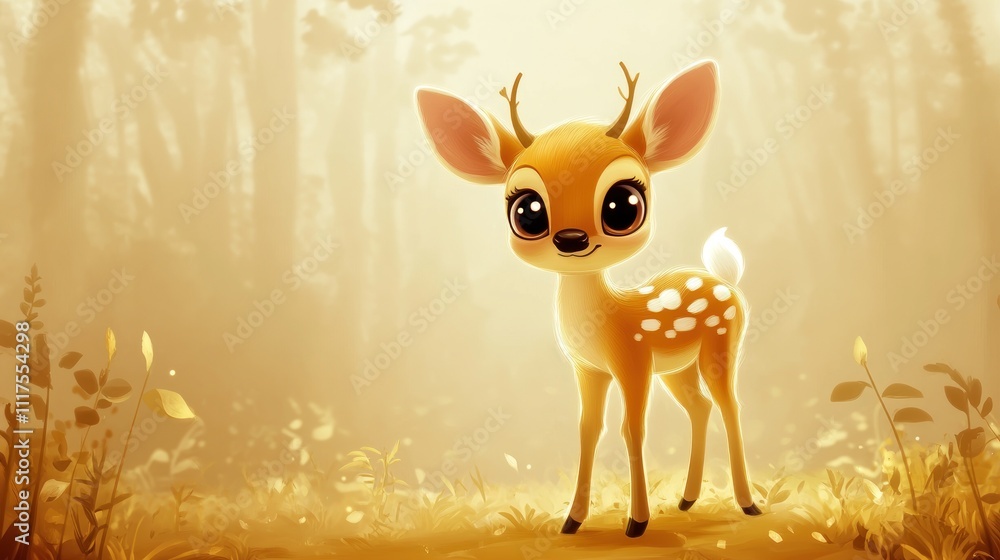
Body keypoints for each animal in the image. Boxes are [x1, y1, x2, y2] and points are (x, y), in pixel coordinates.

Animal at [414, 60, 760, 538]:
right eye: (527, 211)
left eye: (623, 205)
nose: (571, 239)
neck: (605, 320)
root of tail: (726, 278)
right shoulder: (589, 369)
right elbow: (588, 429)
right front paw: (572, 520)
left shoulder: (632, 362)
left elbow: (632, 429)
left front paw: (636, 522)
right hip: (677, 368)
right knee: (700, 407)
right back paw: (687, 499)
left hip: (721, 346)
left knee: (731, 406)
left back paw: (748, 504)